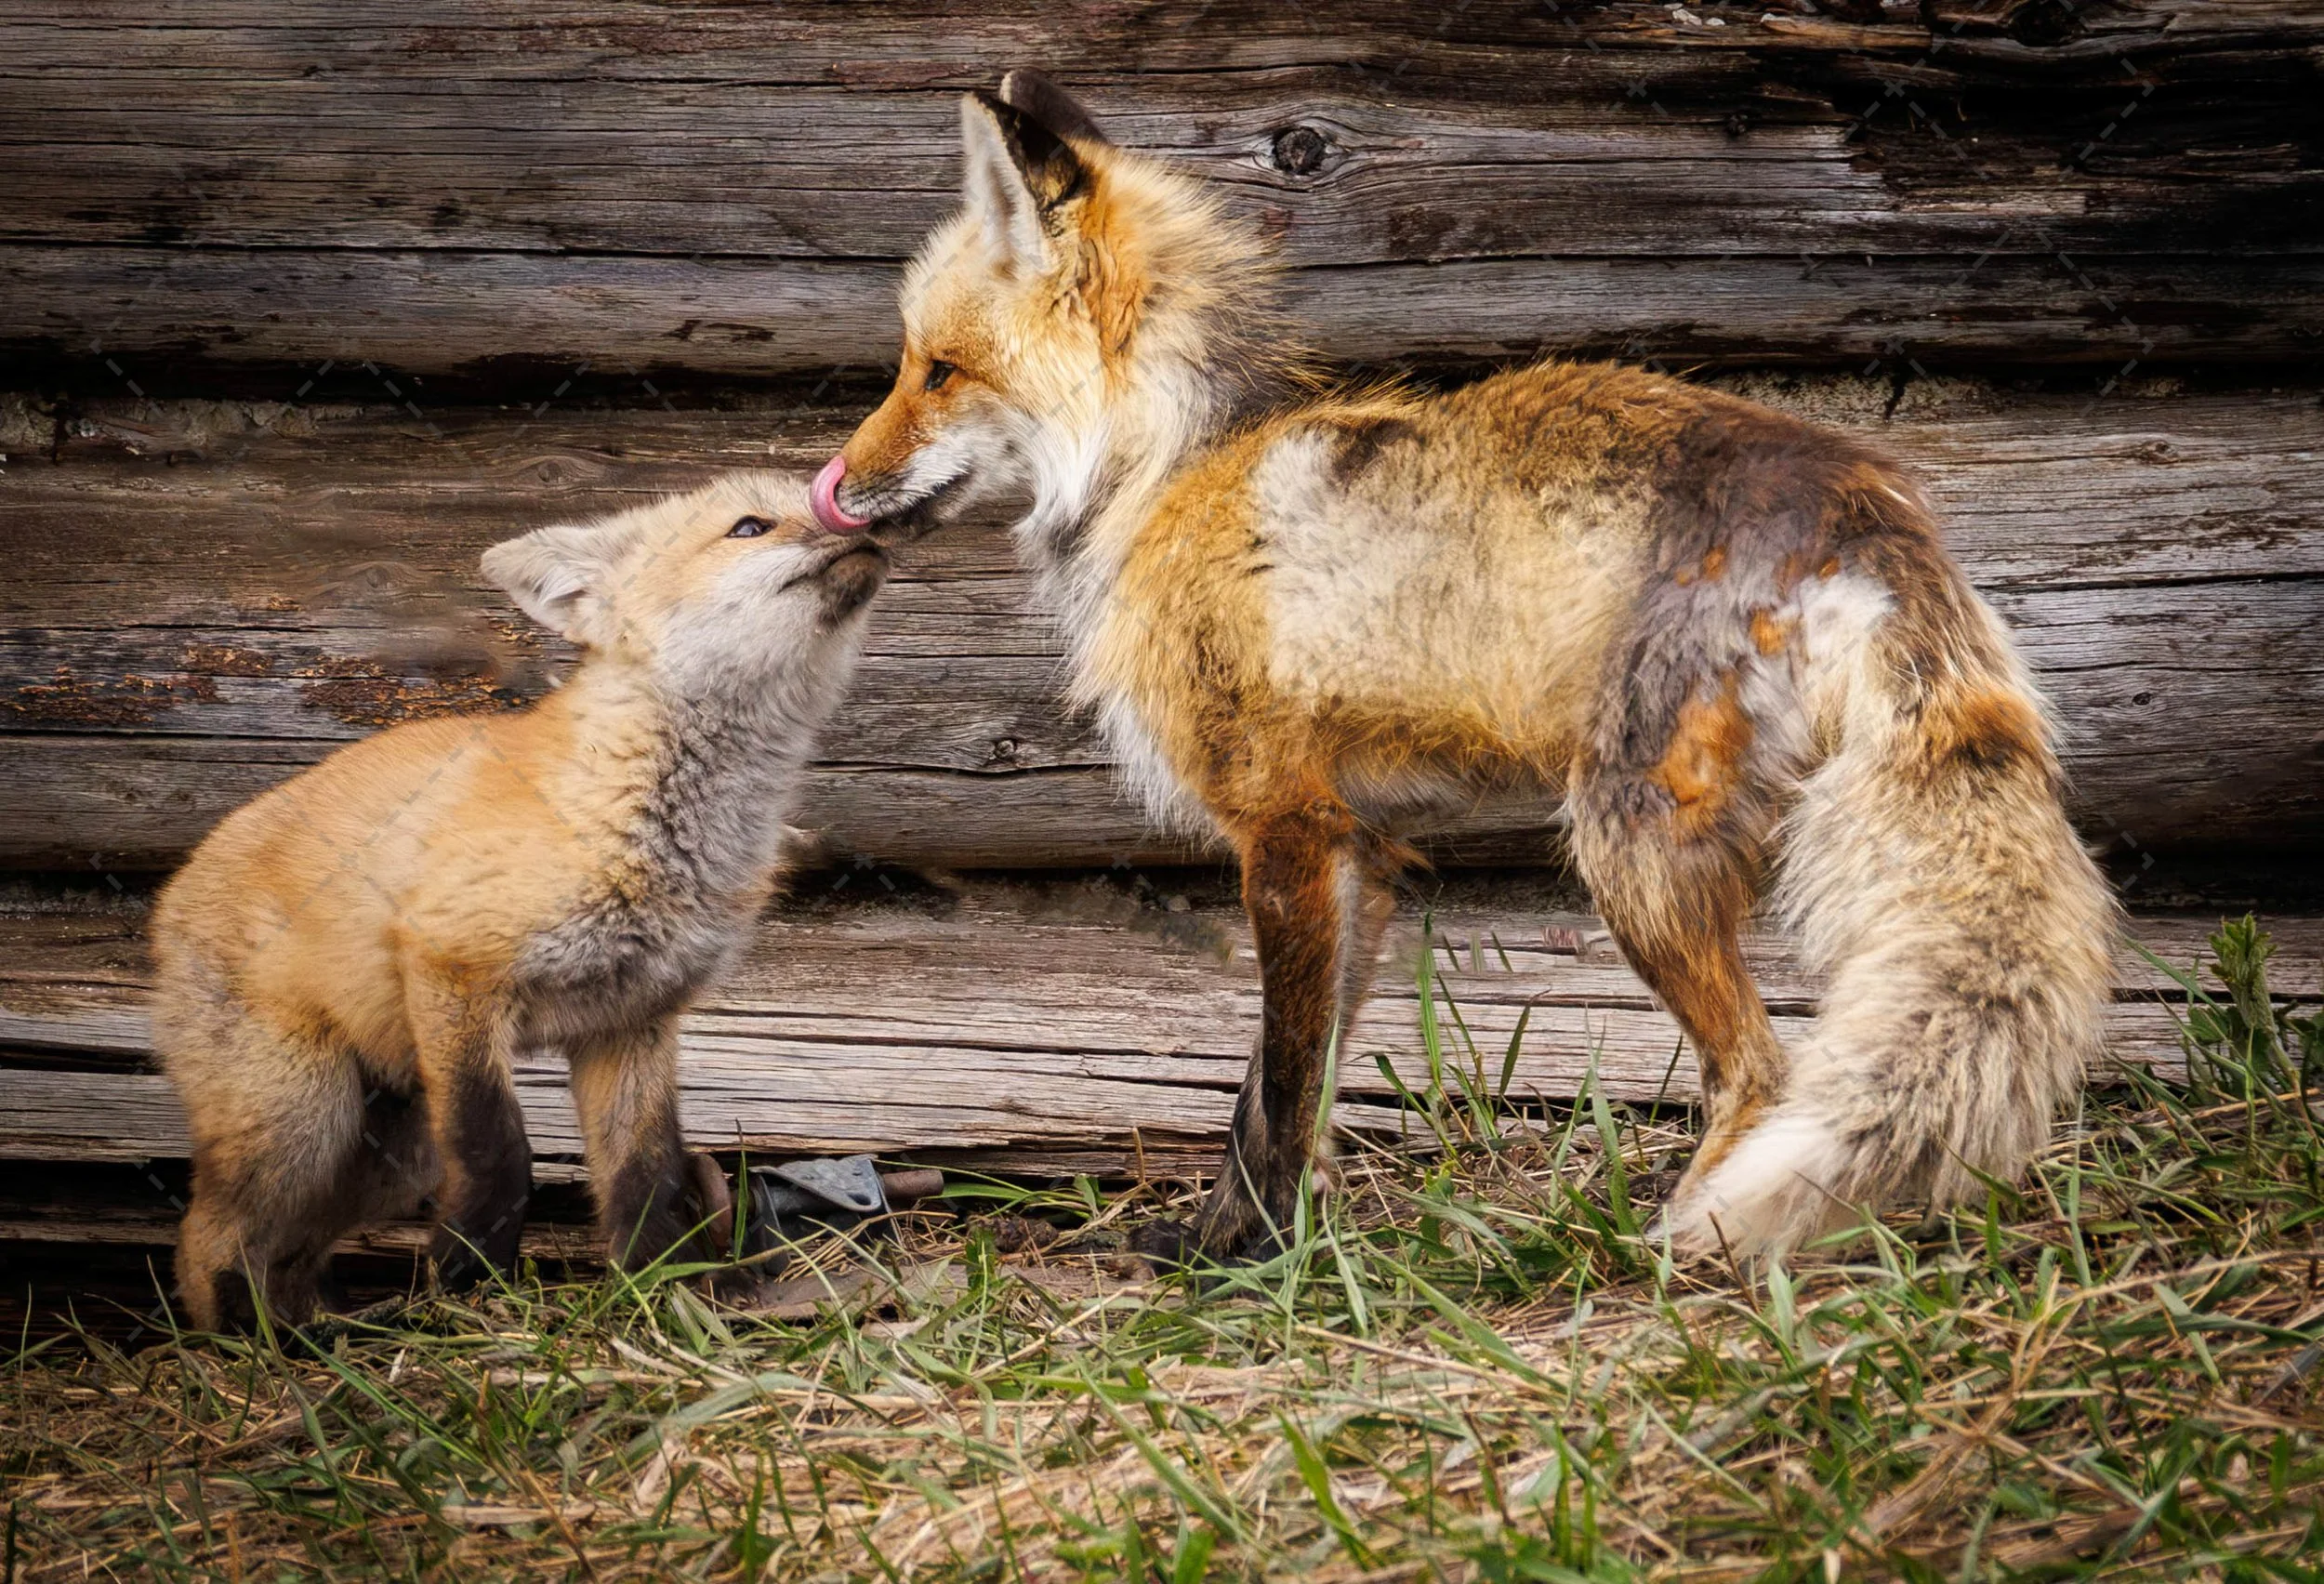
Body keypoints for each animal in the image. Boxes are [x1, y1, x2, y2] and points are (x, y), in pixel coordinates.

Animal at [152, 471, 888, 1330]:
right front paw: (470, 1290)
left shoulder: (631, 1020)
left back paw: (318, 1332)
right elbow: (500, 1153)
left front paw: (657, 1287)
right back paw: (253, 1343)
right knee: (209, 1239)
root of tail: (172, 890)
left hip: (391, 1153)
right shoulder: (454, 969)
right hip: (302, 1119)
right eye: (750, 526)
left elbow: (646, 1173)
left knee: (290, 1252)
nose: (873, 524)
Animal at [805, 71, 2121, 1263]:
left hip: (1627, 850)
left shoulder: (1282, 830)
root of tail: (1864, 497)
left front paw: (1252, 1266)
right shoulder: (1357, 850)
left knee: (1757, 1069)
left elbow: (1280, 1088)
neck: (1167, 471)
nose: (830, 489)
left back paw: (1669, 1249)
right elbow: (1279, 1094)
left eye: (935, 370)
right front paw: (1237, 1237)